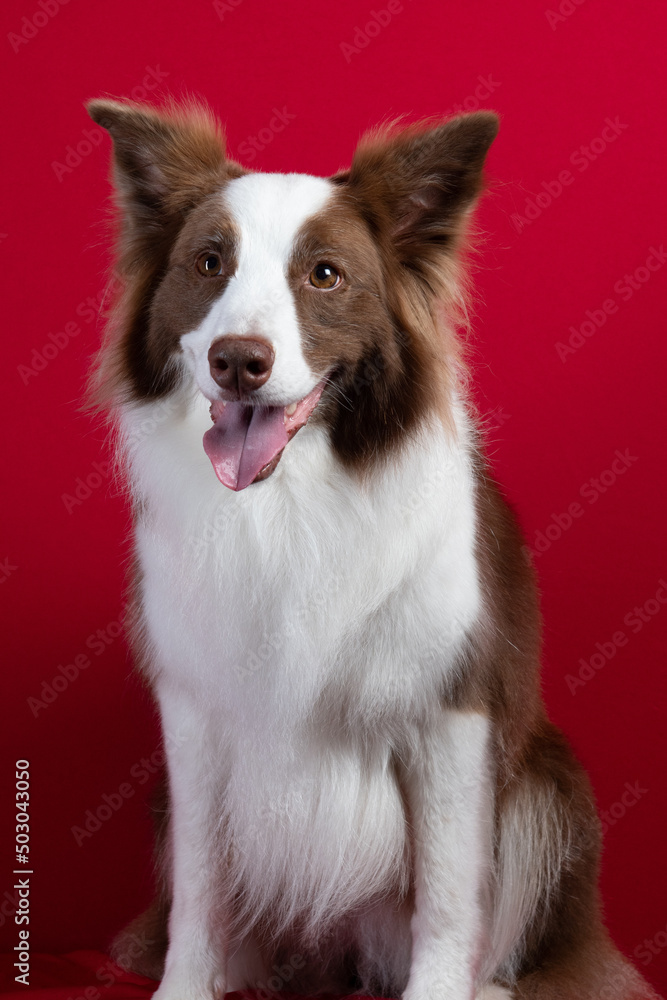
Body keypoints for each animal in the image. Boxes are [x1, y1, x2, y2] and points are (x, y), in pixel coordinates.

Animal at [86, 95, 660, 1000]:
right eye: (209, 263)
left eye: (324, 275)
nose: (238, 362)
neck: (285, 502)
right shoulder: (194, 706)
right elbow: (201, 885)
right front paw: (184, 986)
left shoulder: (449, 710)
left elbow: (449, 892)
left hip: (547, 790)